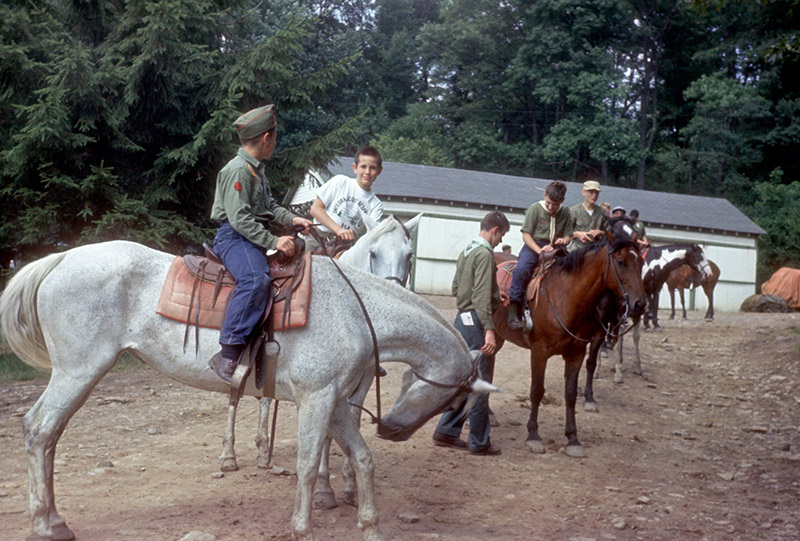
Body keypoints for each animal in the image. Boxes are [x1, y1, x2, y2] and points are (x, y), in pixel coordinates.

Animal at [0, 239, 488, 540]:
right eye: (454, 400)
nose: (392, 428)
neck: (354, 310)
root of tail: (61, 259)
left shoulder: (333, 403)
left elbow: (362, 459)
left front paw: (370, 526)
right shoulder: (315, 400)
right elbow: (308, 464)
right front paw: (302, 528)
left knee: (47, 435)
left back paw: (53, 517)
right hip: (78, 371)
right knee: (39, 430)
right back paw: (46, 524)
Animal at [490, 234, 648, 458]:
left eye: (641, 263)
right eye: (620, 262)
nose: (640, 304)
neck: (567, 297)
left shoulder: (577, 353)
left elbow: (571, 393)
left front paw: (573, 438)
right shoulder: (539, 352)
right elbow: (537, 391)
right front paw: (533, 436)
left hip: (496, 336)